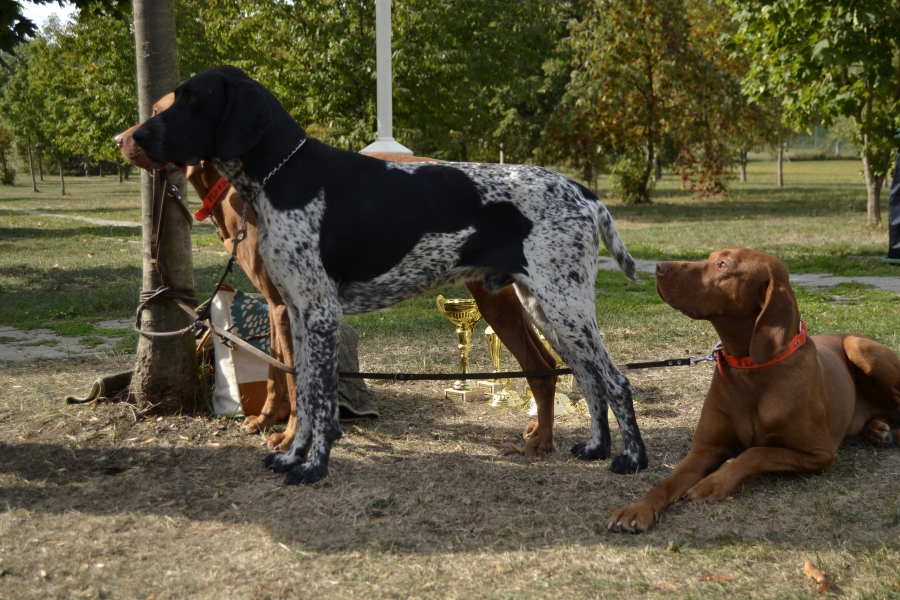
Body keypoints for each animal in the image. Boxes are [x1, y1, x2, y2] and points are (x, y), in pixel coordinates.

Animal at [131, 65, 648, 485]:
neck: (284, 174)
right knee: (588, 378)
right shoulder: (297, 313)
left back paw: (632, 460)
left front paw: (314, 467)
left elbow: (319, 401)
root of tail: (583, 192)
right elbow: (306, 391)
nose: (134, 138)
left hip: (564, 306)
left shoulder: (320, 314)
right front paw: (292, 456)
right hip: (547, 308)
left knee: (615, 380)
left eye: (191, 99)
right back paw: (596, 448)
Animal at [608, 247, 900, 532]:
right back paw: (878, 429)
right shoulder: (704, 450)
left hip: (858, 346)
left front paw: (712, 483)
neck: (750, 370)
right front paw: (637, 509)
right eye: (711, 257)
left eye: (723, 265)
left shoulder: (820, 453)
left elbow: (756, 452)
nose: (659, 267)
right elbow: (666, 482)